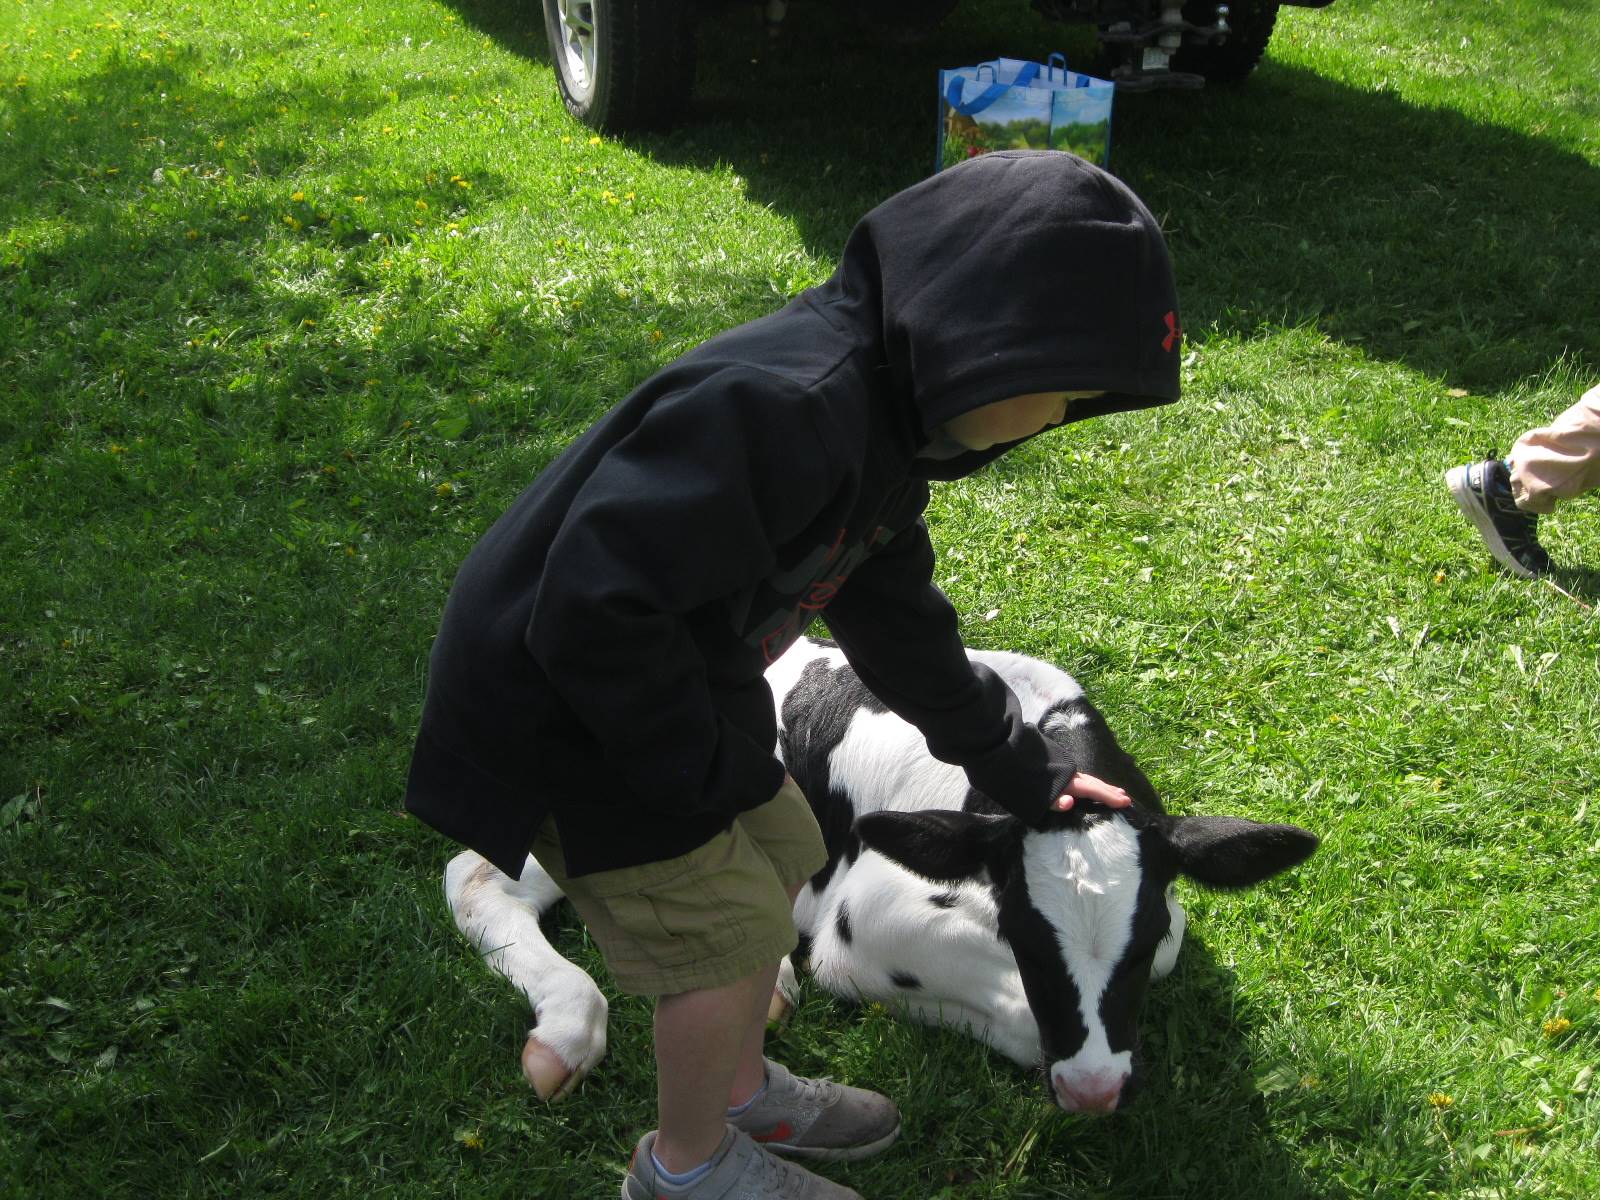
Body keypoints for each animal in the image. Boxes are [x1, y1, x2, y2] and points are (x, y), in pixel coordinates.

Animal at [444, 640, 1318, 1120]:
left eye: (1137, 947)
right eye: (1027, 941)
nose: (1094, 1090)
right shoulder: (862, 920)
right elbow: (1022, 1019)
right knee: (476, 875)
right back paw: (567, 1029)